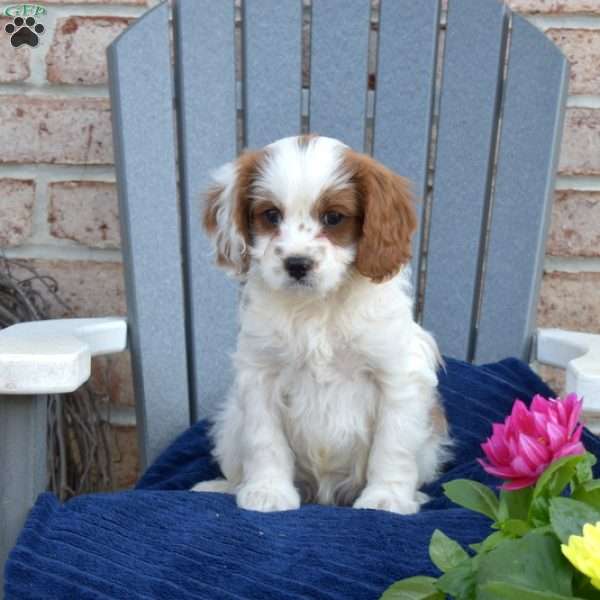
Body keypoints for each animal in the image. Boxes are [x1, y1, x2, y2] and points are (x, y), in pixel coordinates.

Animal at [192, 136, 450, 516]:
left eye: (333, 217)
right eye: (271, 215)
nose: (297, 264)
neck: (317, 307)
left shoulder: (397, 376)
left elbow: (392, 446)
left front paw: (385, 499)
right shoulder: (260, 376)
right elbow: (264, 441)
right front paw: (268, 492)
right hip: (229, 425)